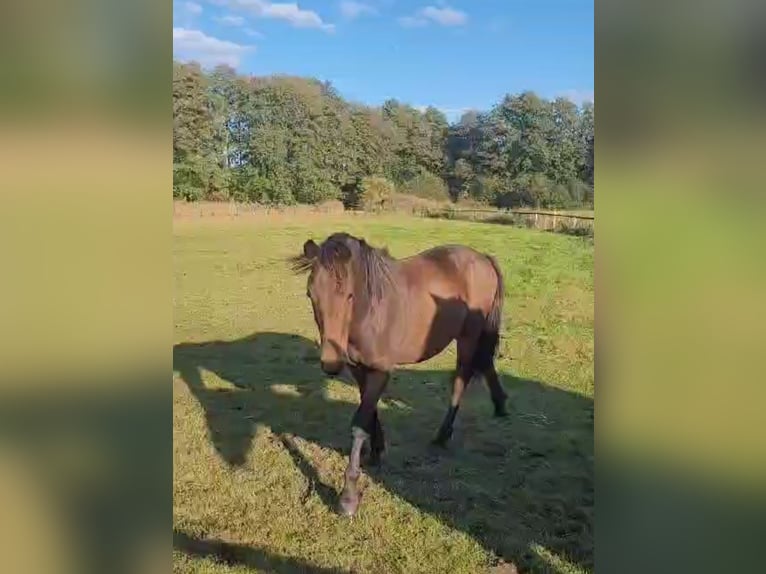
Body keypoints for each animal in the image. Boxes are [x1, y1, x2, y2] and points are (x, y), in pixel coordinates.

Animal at [292, 232, 508, 520]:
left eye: (349, 295)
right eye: (310, 294)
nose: (330, 362)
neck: (370, 313)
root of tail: (482, 258)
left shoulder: (381, 370)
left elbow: (359, 423)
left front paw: (348, 499)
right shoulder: (360, 369)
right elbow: (369, 411)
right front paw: (376, 451)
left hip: (468, 336)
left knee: (462, 377)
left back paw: (443, 434)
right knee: (484, 364)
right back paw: (500, 405)